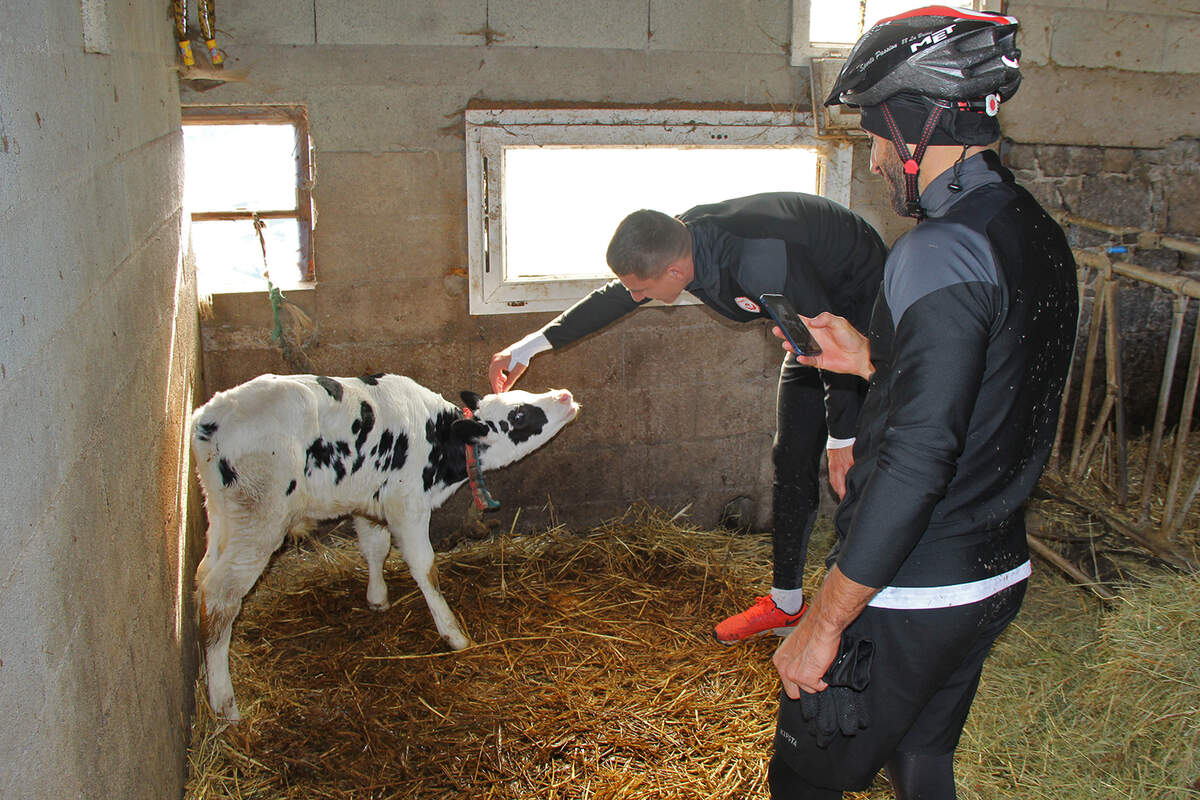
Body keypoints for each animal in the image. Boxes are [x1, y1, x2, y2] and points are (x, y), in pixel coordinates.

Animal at [192, 371, 576, 724]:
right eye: (518, 415)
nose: (565, 394)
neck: (439, 440)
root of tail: (212, 416)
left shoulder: (368, 500)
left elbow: (374, 547)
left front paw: (377, 598)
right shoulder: (407, 504)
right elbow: (424, 567)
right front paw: (453, 634)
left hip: (223, 515)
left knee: (203, 575)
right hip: (260, 517)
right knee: (221, 594)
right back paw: (225, 703)